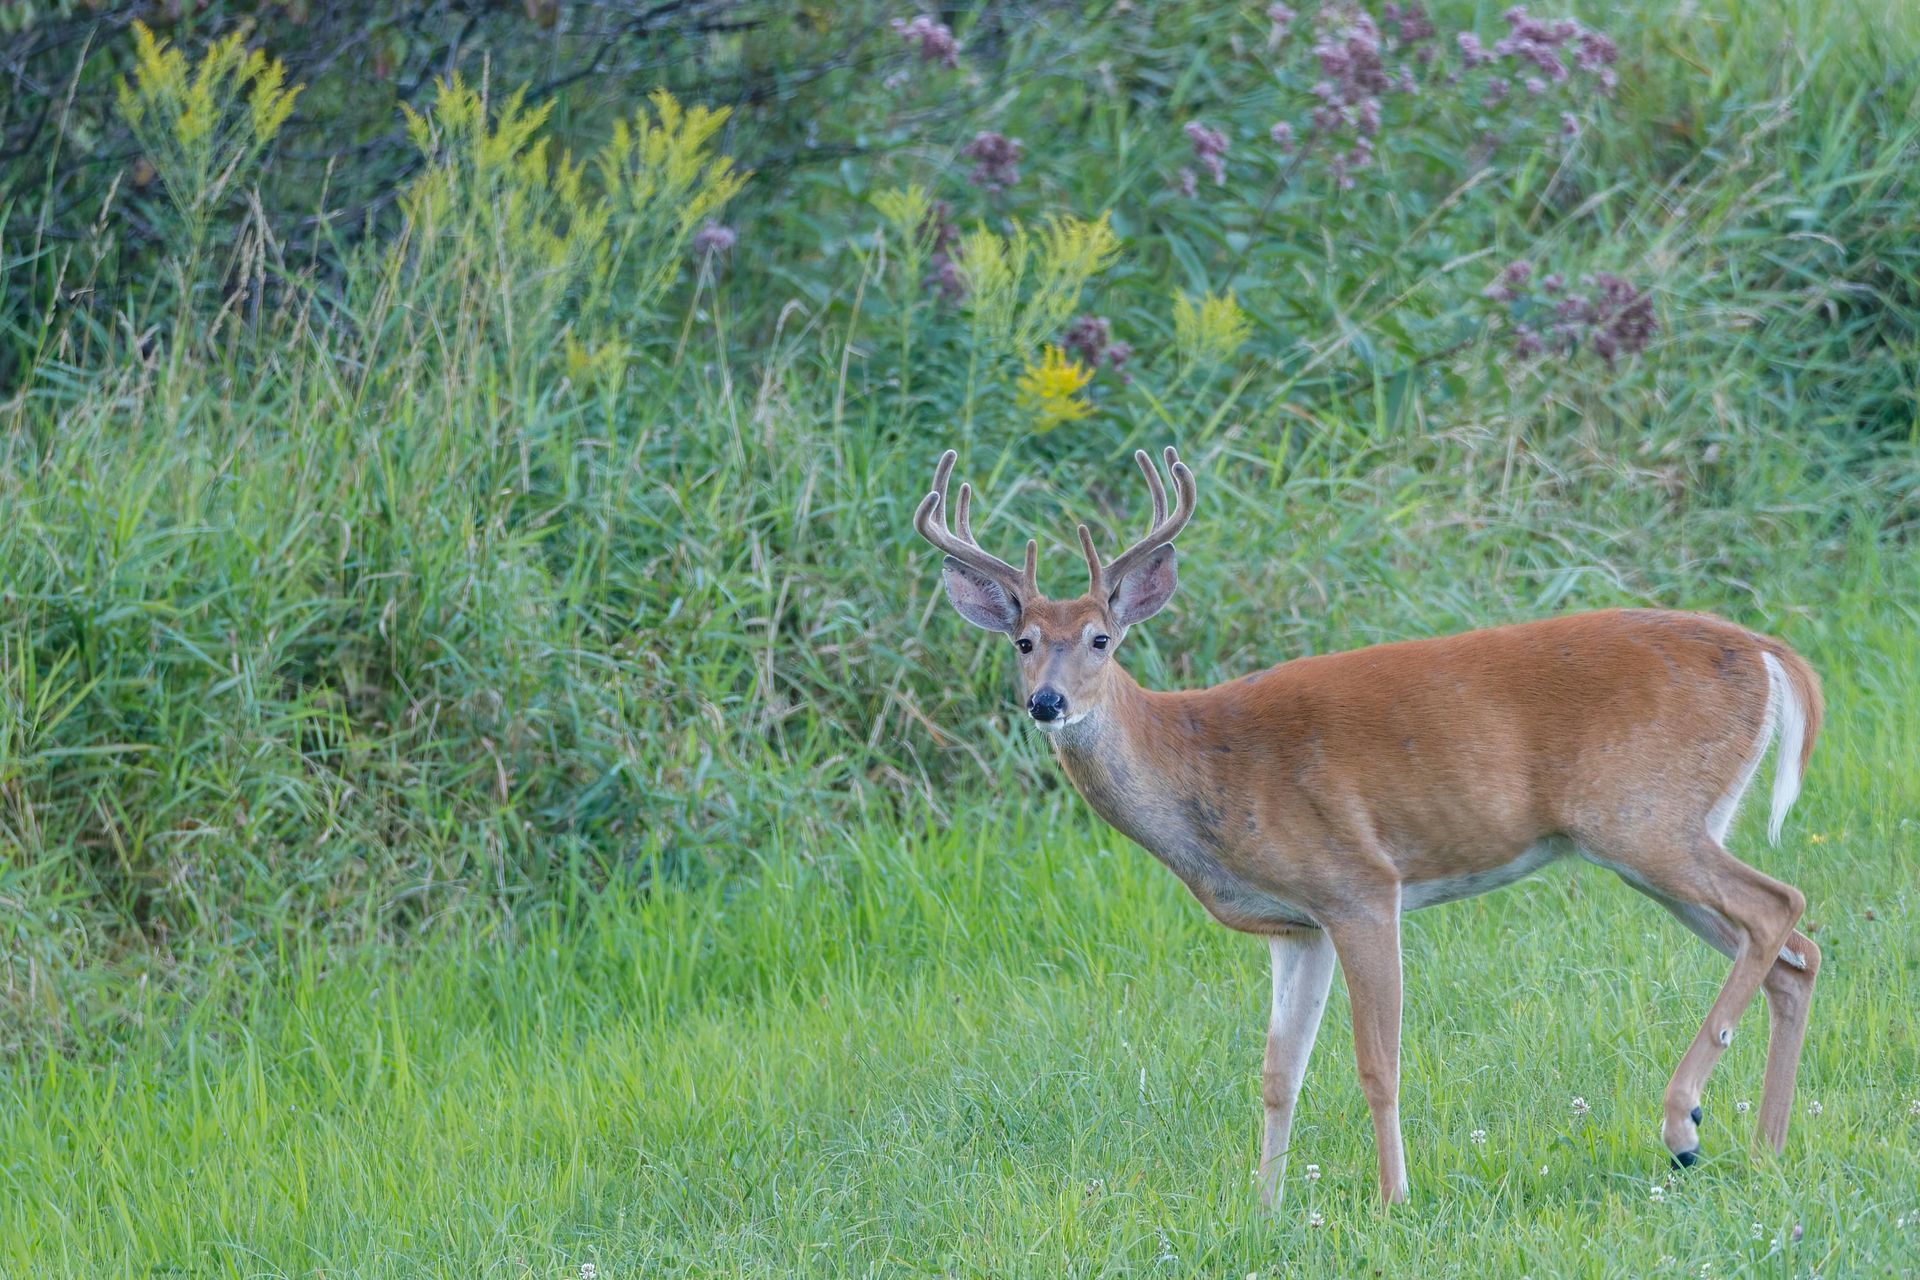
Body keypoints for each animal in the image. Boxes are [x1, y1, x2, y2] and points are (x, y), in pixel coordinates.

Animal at [913, 444, 1823, 1207]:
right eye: (1024, 642)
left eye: (1101, 638)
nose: (1047, 701)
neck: (1200, 763)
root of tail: (1768, 651)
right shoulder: (1296, 923)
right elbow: (1278, 1071)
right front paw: (1264, 1208)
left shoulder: (1358, 883)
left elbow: (1376, 1063)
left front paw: (1394, 1200)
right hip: (1660, 836)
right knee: (1793, 954)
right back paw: (1765, 1150)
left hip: (1645, 819)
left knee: (1779, 905)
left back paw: (1684, 1124)